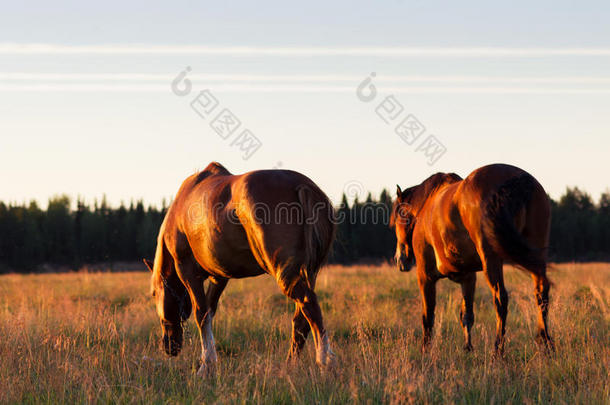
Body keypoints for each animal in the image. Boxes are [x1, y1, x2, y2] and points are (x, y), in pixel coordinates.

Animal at [144, 162, 334, 376]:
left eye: (154, 294)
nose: (168, 346)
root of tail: (302, 185)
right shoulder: (219, 277)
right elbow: (209, 312)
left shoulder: (187, 271)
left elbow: (201, 314)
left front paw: (206, 365)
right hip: (310, 273)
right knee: (301, 320)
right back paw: (290, 367)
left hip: (286, 274)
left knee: (309, 305)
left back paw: (324, 361)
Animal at [392, 163, 552, 352]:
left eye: (398, 218)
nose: (400, 260)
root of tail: (517, 179)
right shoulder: (468, 278)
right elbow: (466, 315)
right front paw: (468, 348)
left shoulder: (425, 276)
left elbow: (427, 316)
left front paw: (425, 350)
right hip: (536, 256)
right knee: (541, 294)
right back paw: (546, 343)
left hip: (492, 260)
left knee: (500, 299)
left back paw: (498, 350)